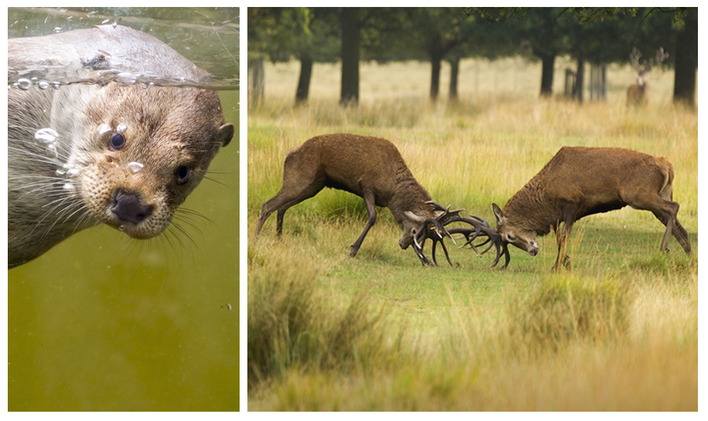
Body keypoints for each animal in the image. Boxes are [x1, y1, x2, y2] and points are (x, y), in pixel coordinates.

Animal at [492, 146, 692, 270]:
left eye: (509, 236)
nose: (533, 252)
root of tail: (668, 166)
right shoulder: (558, 216)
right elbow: (559, 238)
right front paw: (566, 262)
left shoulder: (572, 203)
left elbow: (564, 237)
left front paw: (557, 266)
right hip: (662, 193)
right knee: (679, 226)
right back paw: (690, 256)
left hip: (638, 195)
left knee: (674, 207)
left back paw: (664, 247)